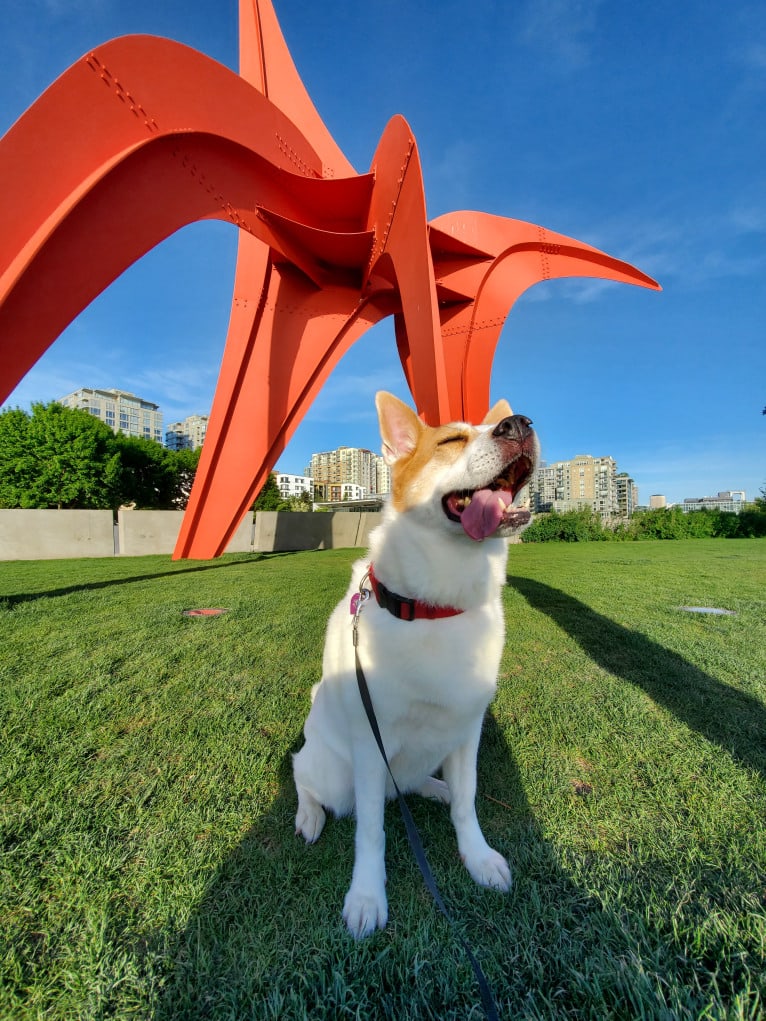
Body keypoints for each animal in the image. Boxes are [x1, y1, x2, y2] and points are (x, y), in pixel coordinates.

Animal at [294, 392, 539, 939]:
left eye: (497, 424)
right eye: (451, 440)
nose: (520, 424)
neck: (437, 607)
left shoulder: (468, 729)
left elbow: (469, 802)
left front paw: (477, 857)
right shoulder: (370, 744)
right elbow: (371, 833)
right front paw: (367, 896)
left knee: (410, 784)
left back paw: (434, 786)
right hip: (333, 770)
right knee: (306, 777)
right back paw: (309, 816)